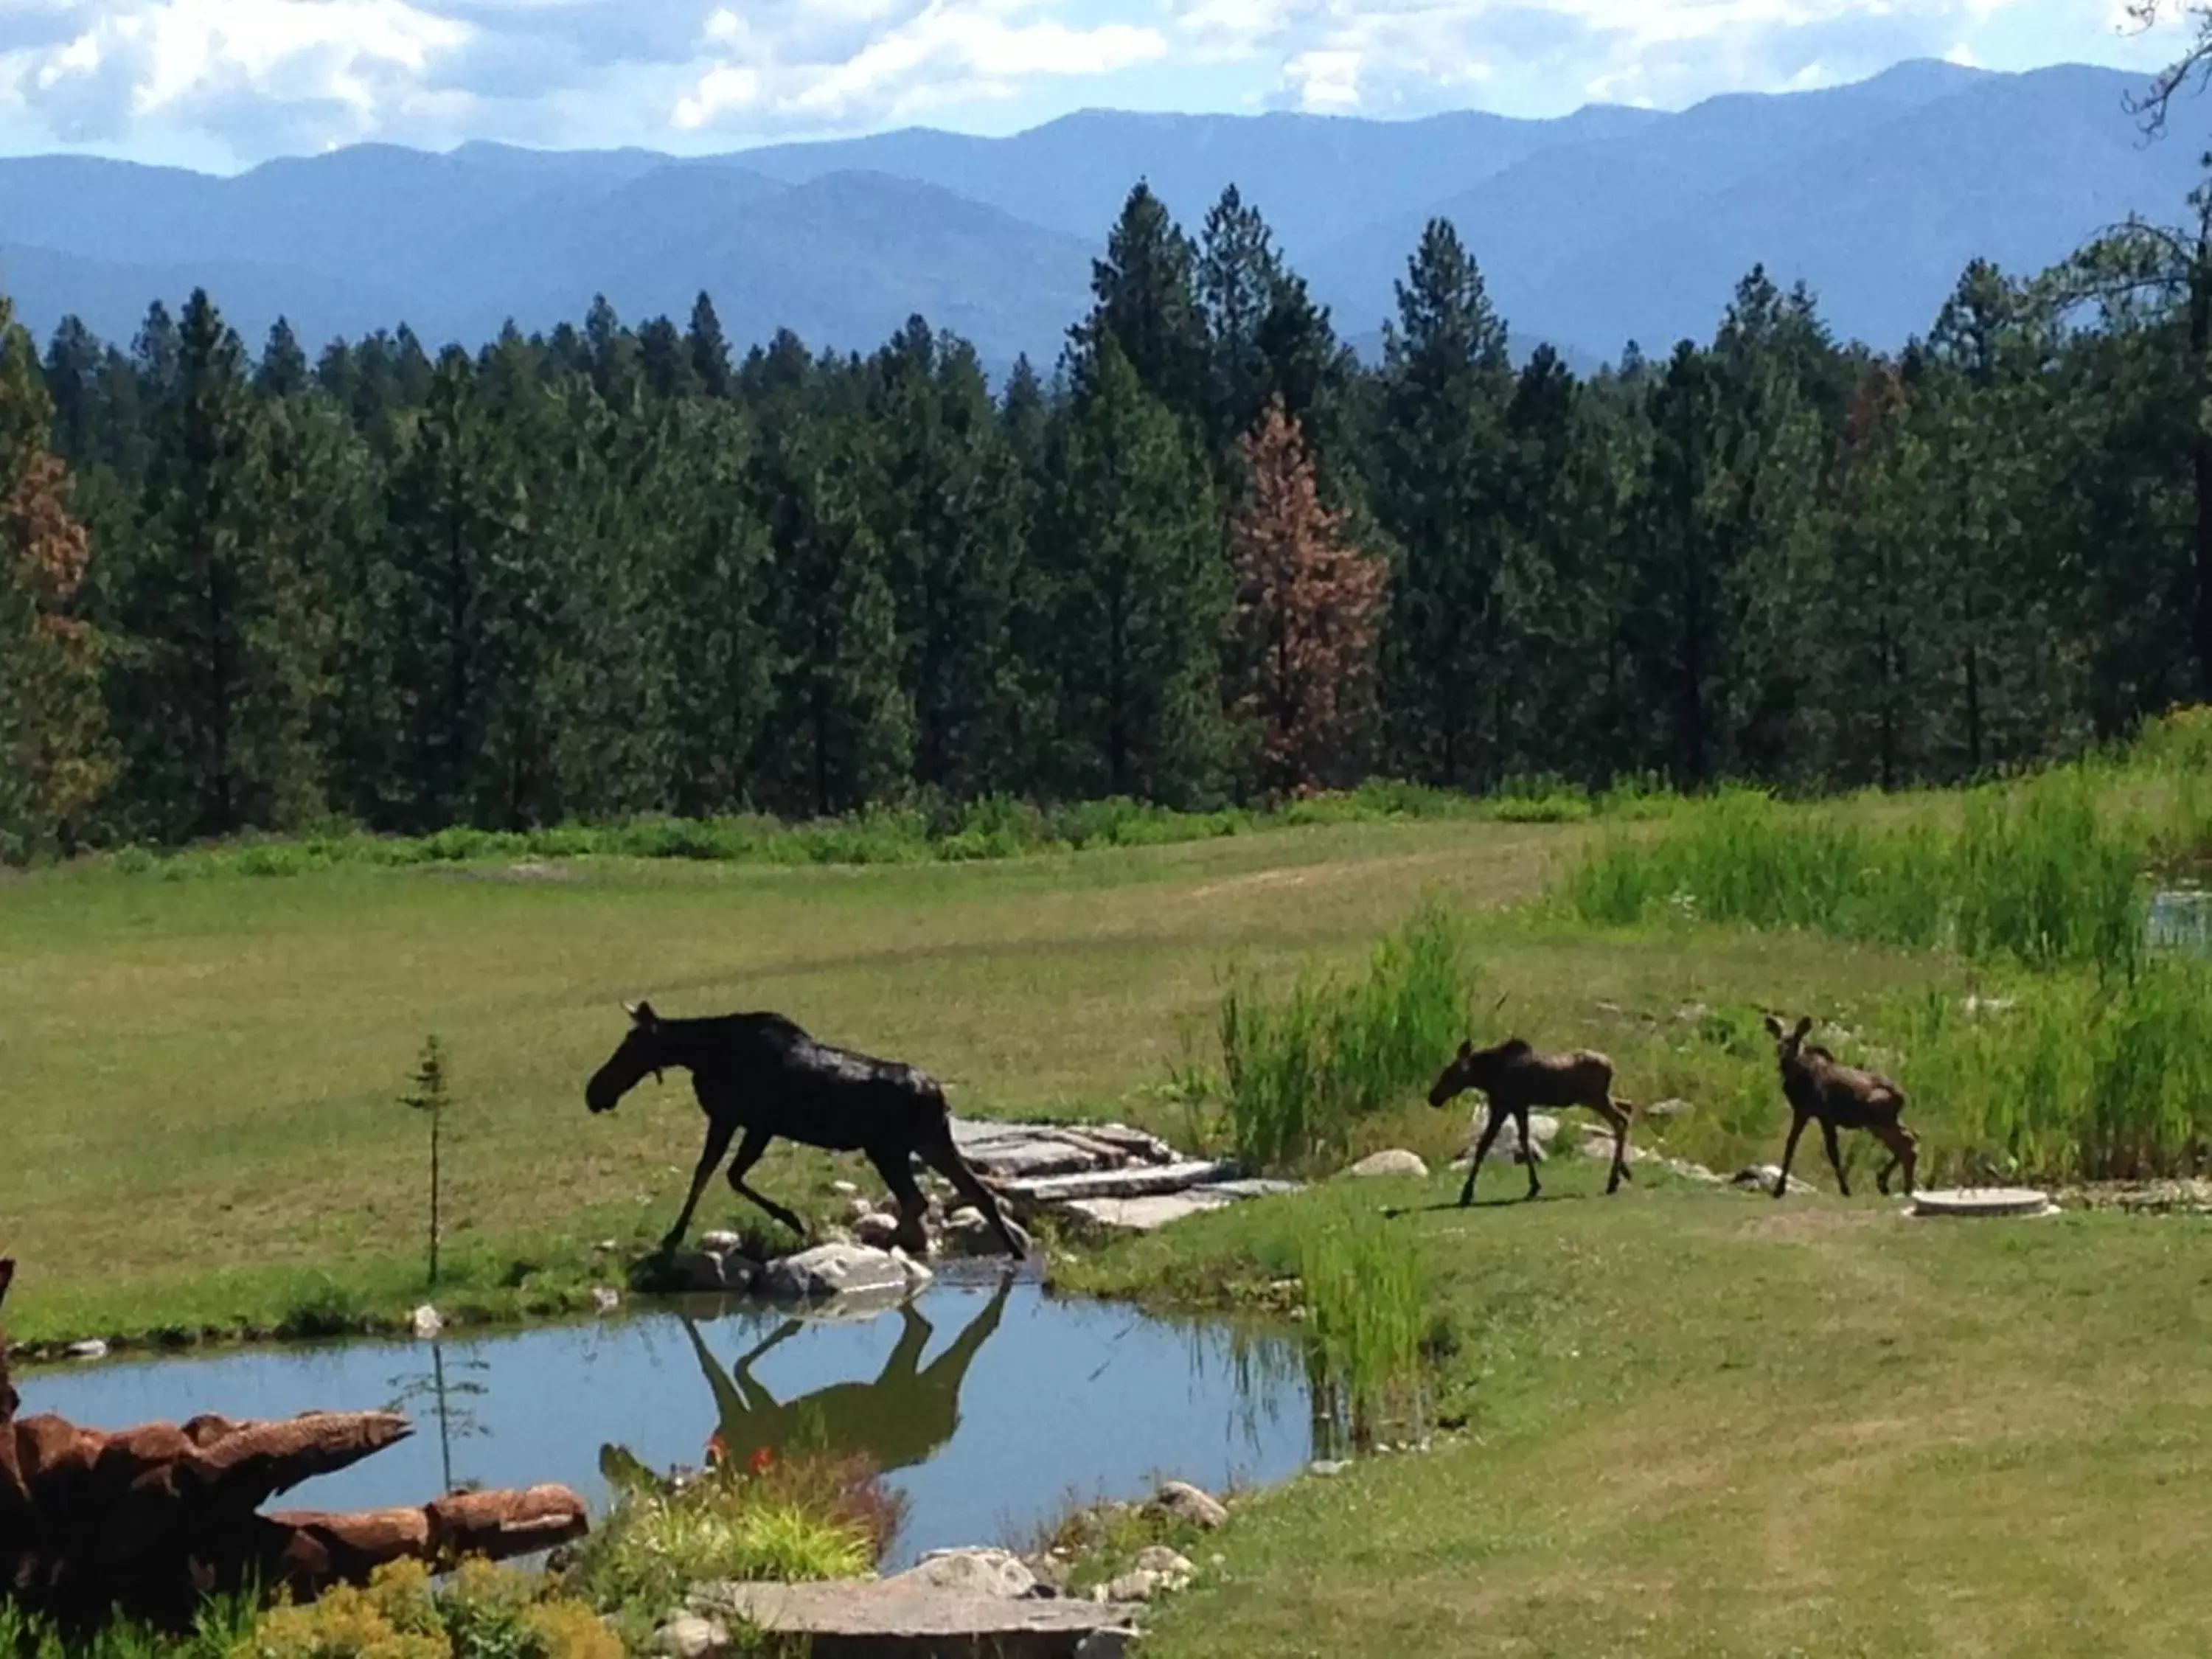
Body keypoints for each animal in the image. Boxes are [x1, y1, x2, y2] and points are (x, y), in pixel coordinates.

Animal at [580, 1009, 1026, 1265]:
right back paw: (1015, 1252)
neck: (701, 1053)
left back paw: (886, 1246)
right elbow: (710, 1173)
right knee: (976, 1191)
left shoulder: (745, 1122)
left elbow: (722, 1175)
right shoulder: (738, 1122)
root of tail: (938, 1096)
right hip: (929, 1141)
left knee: (918, 1199)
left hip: (888, 1149)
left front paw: (794, 1222)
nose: (594, 1092)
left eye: (630, 1047)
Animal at [1425, 1040, 1637, 1212]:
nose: (1433, 1097)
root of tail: (1611, 1065)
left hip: (1595, 1098)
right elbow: (1524, 1140)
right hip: (1597, 1098)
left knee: (1620, 1120)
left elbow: (1484, 1145)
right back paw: (1622, 1173)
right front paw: (1534, 1186)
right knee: (1626, 1111)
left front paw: (1467, 1193)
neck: (1487, 1077)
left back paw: (1614, 1180)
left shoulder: (1503, 1105)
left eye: (1449, 1073)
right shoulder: (1519, 1106)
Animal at [1761, 1013, 1920, 1212]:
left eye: (1796, 1041)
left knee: (1906, 1142)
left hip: (1877, 1121)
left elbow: (1830, 1152)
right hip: (1882, 1122)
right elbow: (1792, 1146)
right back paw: (1893, 1185)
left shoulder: (1819, 1115)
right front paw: (1779, 1189)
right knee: (1910, 1140)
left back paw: (1894, 1185)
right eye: (1779, 1042)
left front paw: (1845, 1189)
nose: (1782, 1056)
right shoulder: (1805, 1112)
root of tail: (1902, 1096)